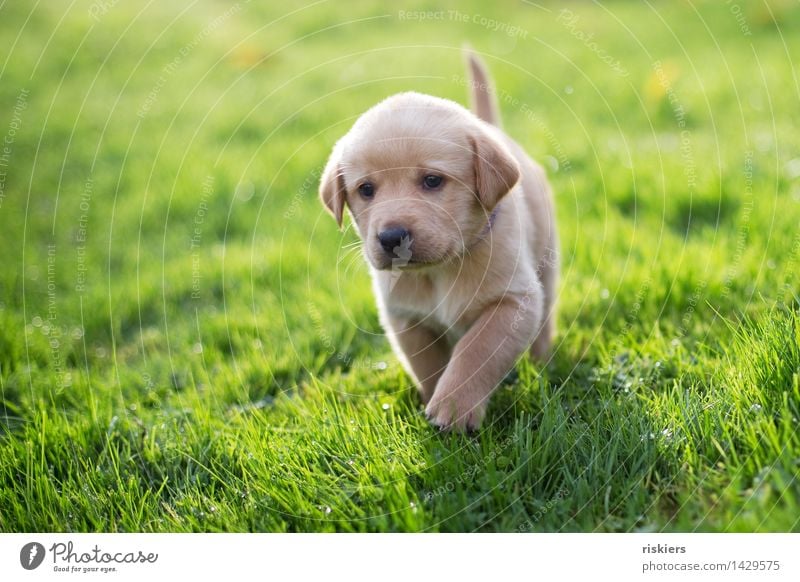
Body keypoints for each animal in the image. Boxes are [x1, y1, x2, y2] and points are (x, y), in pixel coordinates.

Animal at [318, 51, 556, 434]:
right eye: (366, 189)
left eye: (432, 181)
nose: (391, 237)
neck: (440, 270)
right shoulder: (406, 318)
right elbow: (428, 366)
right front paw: (433, 401)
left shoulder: (513, 302)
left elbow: (474, 352)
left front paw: (453, 410)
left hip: (548, 260)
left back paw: (542, 361)